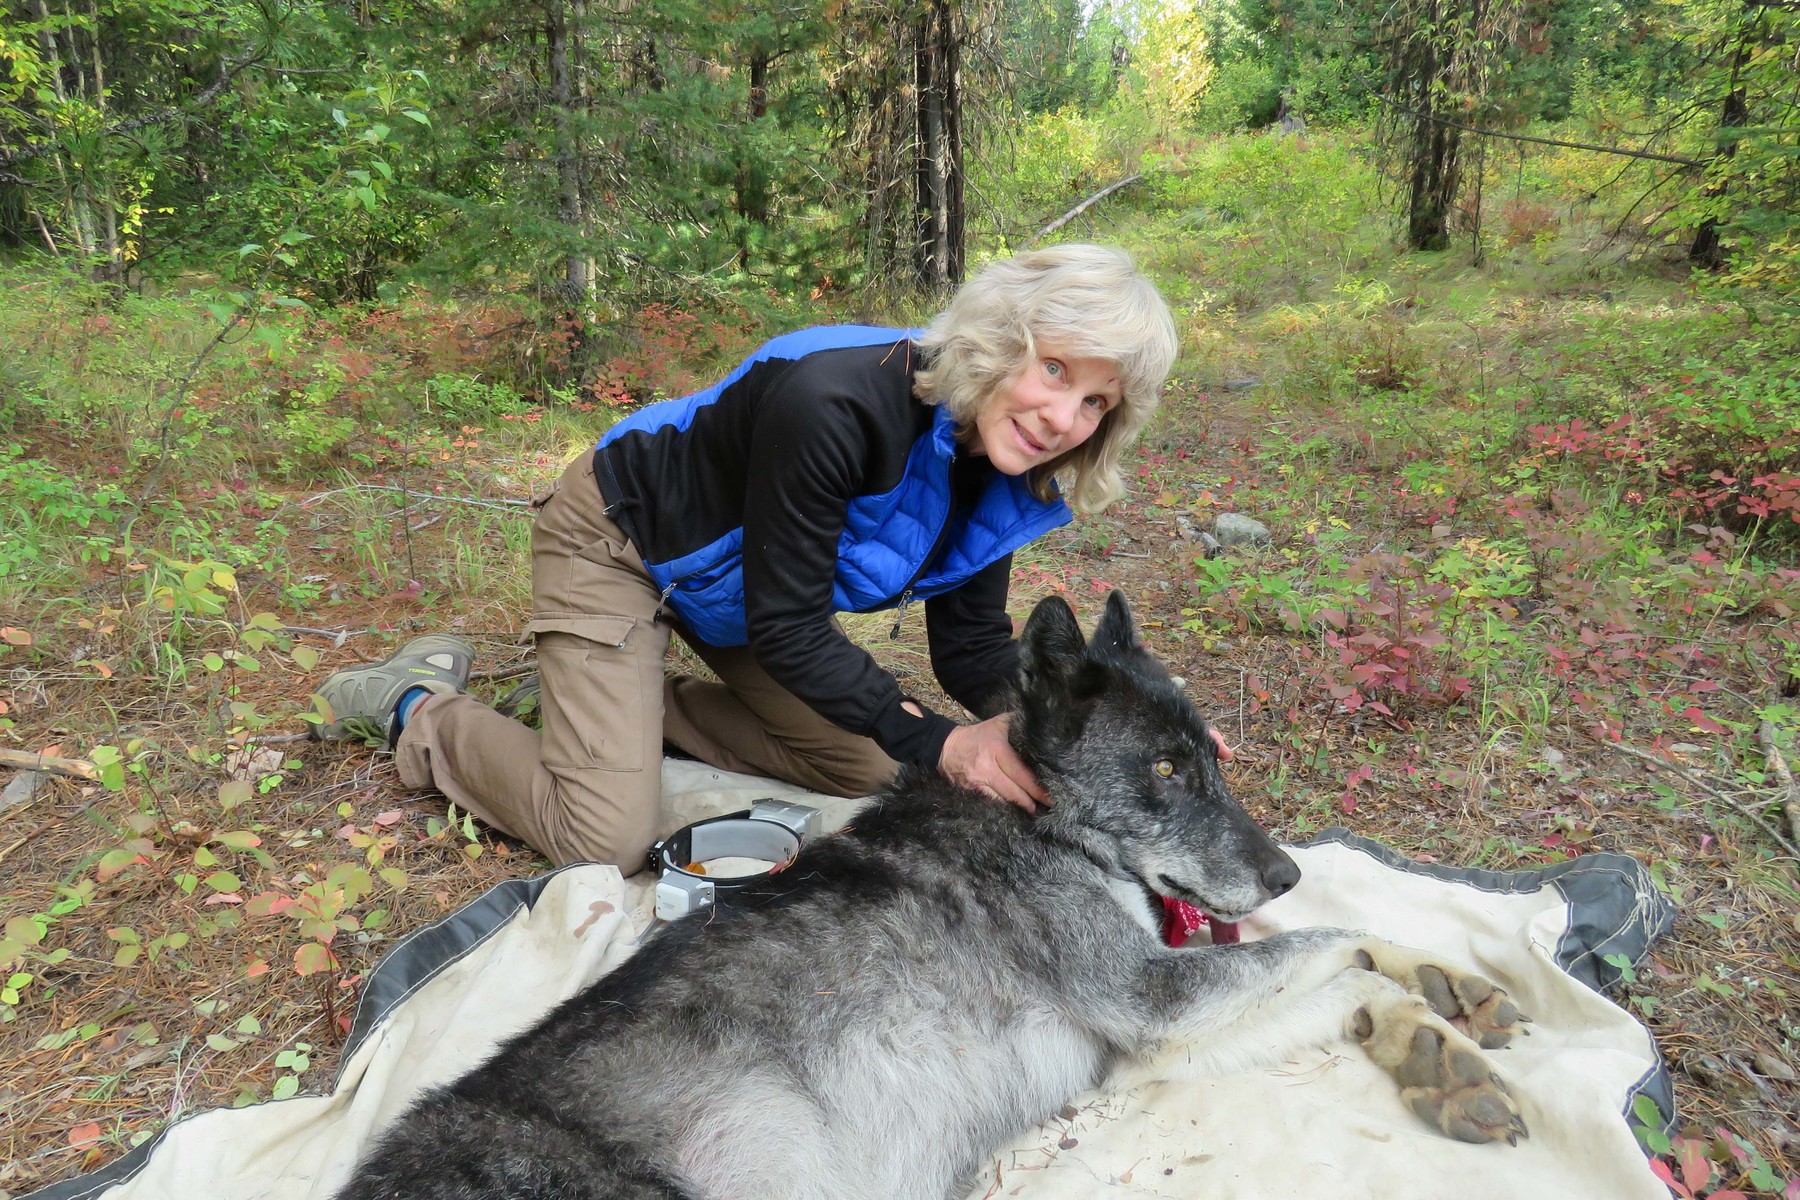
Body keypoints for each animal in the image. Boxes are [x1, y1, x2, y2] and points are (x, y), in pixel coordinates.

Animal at [336, 591, 1527, 1200]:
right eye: (1166, 769)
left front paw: (1437, 1025)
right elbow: (1340, 931)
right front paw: (1428, 1001)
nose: (1282, 866)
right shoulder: (1153, 997)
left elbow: (1338, 960)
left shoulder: (1145, 1050)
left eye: (1214, 761)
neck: (1045, 822)